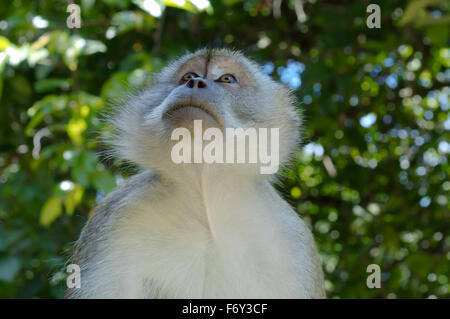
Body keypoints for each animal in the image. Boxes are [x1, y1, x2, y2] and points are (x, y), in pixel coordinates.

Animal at [65, 48, 326, 300]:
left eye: (227, 79)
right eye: (188, 76)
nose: (195, 83)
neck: (206, 195)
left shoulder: (293, 244)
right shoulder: (114, 221)